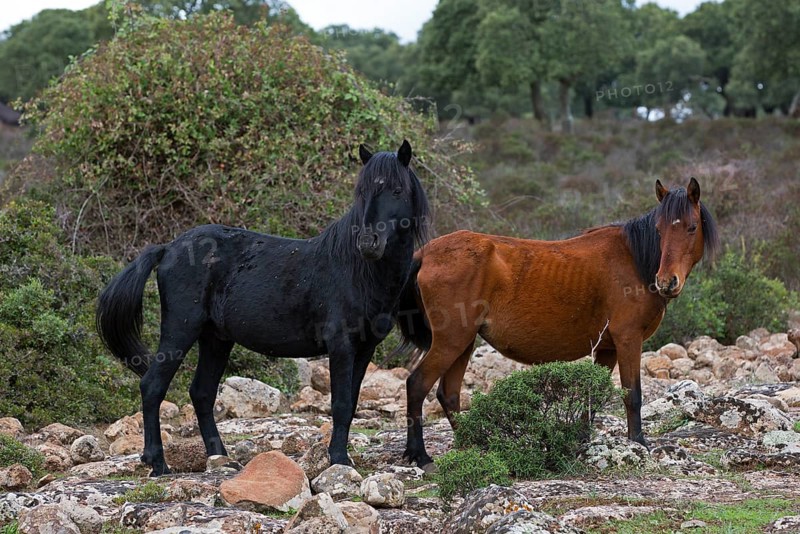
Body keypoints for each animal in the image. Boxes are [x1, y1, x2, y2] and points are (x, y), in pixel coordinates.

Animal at [97, 140, 430, 476]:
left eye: (398, 190)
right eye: (361, 192)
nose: (368, 242)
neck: (356, 270)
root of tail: (168, 249)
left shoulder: (364, 348)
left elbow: (351, 403)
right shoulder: (341, 346)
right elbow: (340, 404)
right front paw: (338, 459)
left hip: (215, 339)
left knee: (201, 393)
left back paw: (220, 457)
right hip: (181, 329)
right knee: (153, 386)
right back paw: (157, 461)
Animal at [395, 178, 719, 469]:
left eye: (691, 227)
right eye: (659, 230)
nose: (666, 282)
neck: (634, 259)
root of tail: (425, 253)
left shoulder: (607, 349)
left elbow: (593, 396)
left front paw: (581, 440)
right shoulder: (629, 340)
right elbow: (632, 394)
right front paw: (638, 442)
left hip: (464, 343)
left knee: (448, 395)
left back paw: (477, 445)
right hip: (451, 341)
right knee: (417, 385)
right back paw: (421, 456)